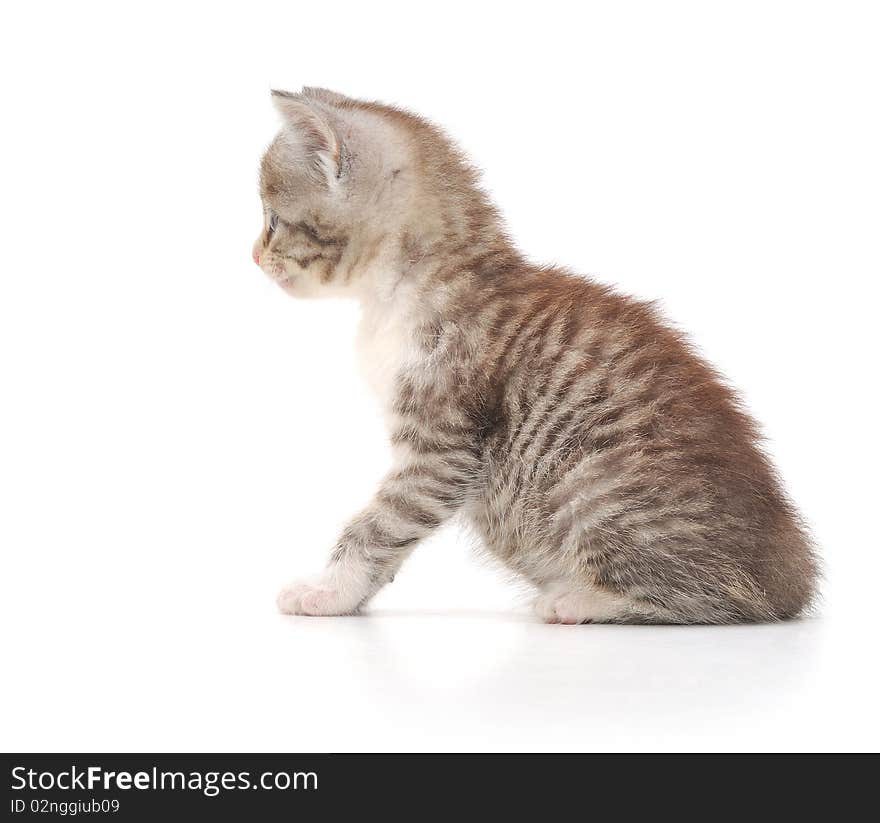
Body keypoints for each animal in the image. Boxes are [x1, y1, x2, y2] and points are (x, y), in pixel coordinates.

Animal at [254, 88, 820, 624]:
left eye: (273, 220)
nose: (255, 256)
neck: (407, 289)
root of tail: (790, 577)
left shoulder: (442, 445)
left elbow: (382, 521)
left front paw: (328, 589)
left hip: (591, 487)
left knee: (714, 597)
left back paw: (579, 599)